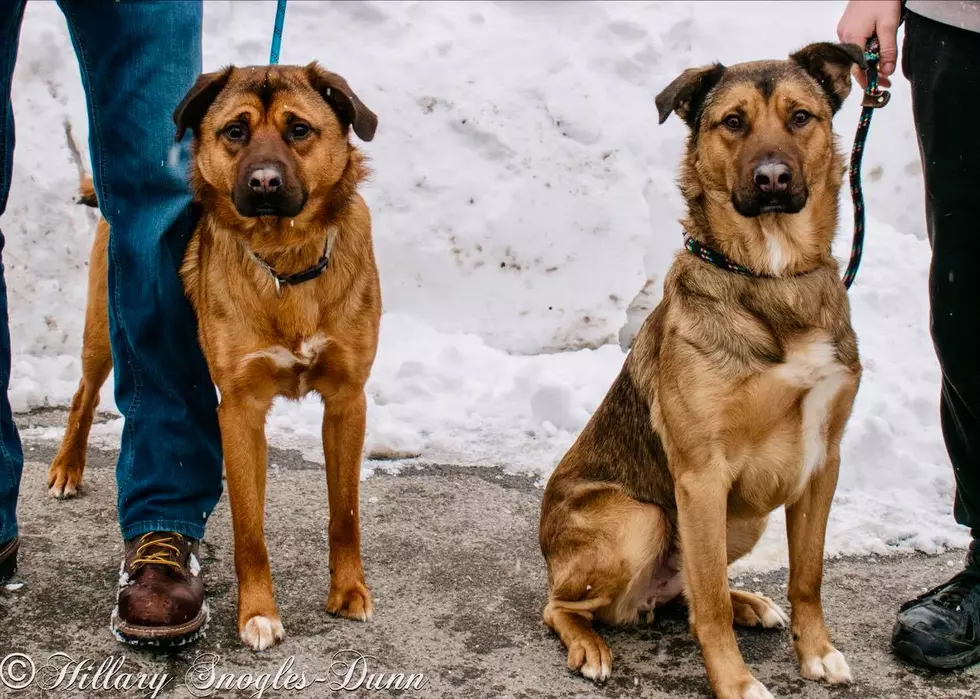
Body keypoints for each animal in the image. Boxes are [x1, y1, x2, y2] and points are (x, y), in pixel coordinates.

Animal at [47, 63, 380, 652]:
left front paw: (348, 592)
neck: (283, 261)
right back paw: (67, 466)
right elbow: (249, 528)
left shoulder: (347, 401)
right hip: (104, 333)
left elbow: (345, 513)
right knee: (83, 396)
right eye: (235, 131)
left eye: (299, 130)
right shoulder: (240, 411)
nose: (264, 182)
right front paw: (258, 614)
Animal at [540, 41, 868, 696]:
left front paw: (816, 651)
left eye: (801, 117)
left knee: (685, 591)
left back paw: (751, 604)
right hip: (642, 519)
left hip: (745, 517)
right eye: (732, 122)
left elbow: (807, 575)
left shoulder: (821, 462)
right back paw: (589, 646)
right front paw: (736, 682)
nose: (772, 179)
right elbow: (709, 602)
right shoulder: (700, 475)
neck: (770, 277)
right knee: (564, 605)